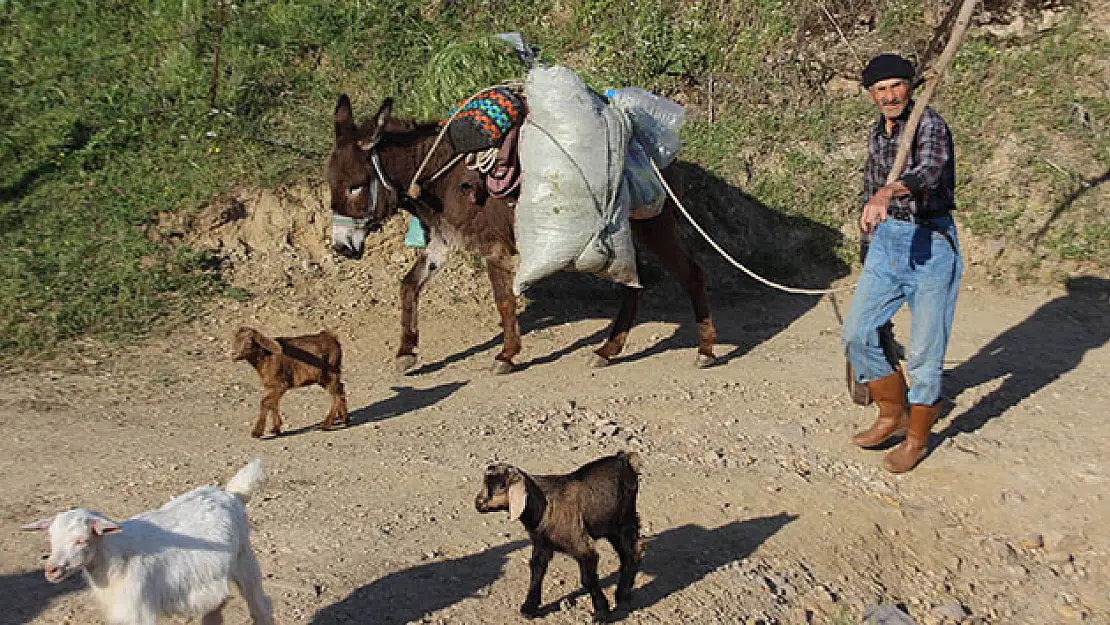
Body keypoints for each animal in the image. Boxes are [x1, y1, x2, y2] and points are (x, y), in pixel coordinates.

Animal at [21, 457, 273, 621]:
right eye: (51, 537)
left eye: (81, 540)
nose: (51, 570)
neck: (115, 558)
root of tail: (231, 494)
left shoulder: (139, 611)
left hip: (245, 561)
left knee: (261, 606)